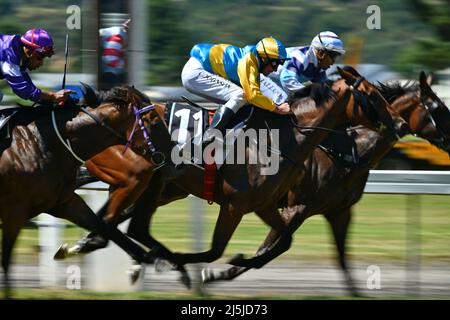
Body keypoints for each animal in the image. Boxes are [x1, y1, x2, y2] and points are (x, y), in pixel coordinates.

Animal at [0, 85, 165, 298]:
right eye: (155, 121)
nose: (171, 155)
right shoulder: (15, 210)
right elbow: (6, 260)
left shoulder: (63, 202)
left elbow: (104, 226)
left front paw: (148, 258)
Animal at [58, 67, 406, 276]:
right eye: (371, 95)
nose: (400, 124)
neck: (280, 138)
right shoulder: (236, 205)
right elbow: (214, 251)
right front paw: (208, 268)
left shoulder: (266, 205)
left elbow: (284, 241)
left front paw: (238, 263)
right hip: (137, 178)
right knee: (115, 221)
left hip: (156, 184)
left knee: (125, 225)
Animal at [202, 71, 450, 296]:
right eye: (438, 108)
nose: (401, 126)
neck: (350, 152)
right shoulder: (296, 208)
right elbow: (267, 248)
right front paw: (220, 273)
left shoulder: (339, 212)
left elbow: (341, 257)